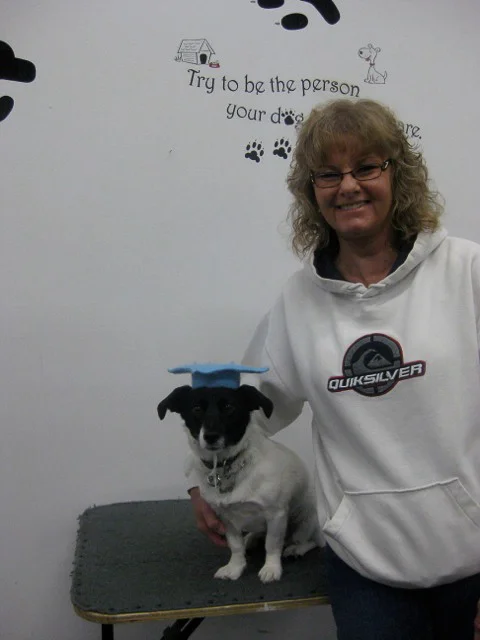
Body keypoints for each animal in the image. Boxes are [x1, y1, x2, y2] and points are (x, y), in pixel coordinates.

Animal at [157, 383, 318, 582]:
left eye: (229, 407)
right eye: (196, 409)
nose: (211, 436)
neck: (226, 466)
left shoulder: (276, 514)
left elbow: (272, 544)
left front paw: (271, 568)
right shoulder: (226, 518)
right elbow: (235, 546)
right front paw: (235, 567)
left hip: (307, 520)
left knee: (312, 540)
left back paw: (296, 548)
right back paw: (251, 538)